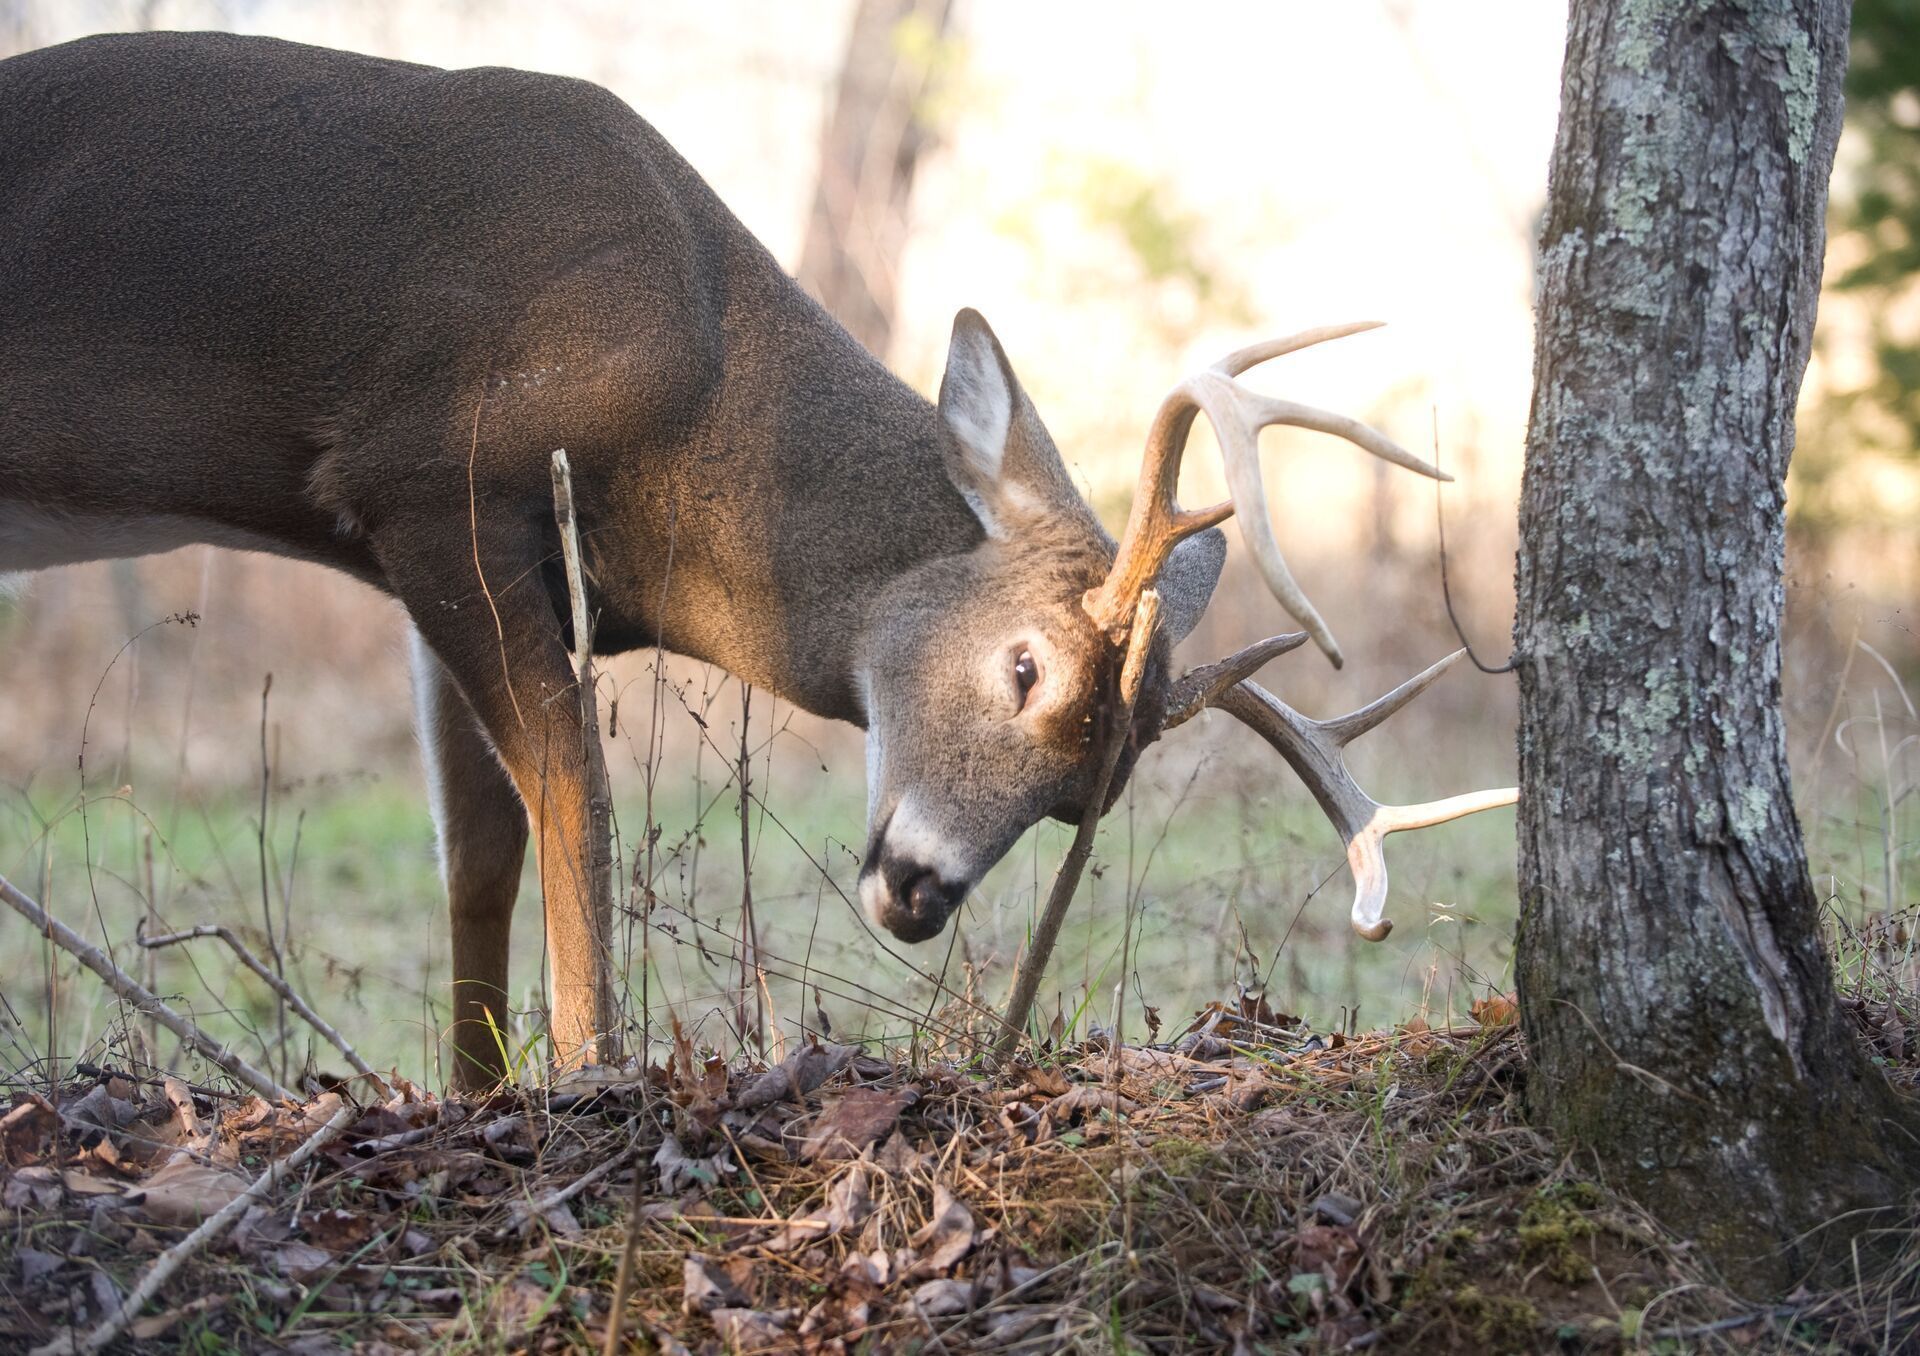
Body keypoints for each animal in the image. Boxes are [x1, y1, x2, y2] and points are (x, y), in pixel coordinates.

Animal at [0, 31, 1515, 1089]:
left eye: (1086, 799)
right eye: (1025, 664)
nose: (920, 895)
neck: (700, 394)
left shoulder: (450, 566)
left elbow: (478, 848)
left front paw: (476, 1090)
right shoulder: (430, 477)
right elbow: (577, 797)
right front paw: (588, 1072)